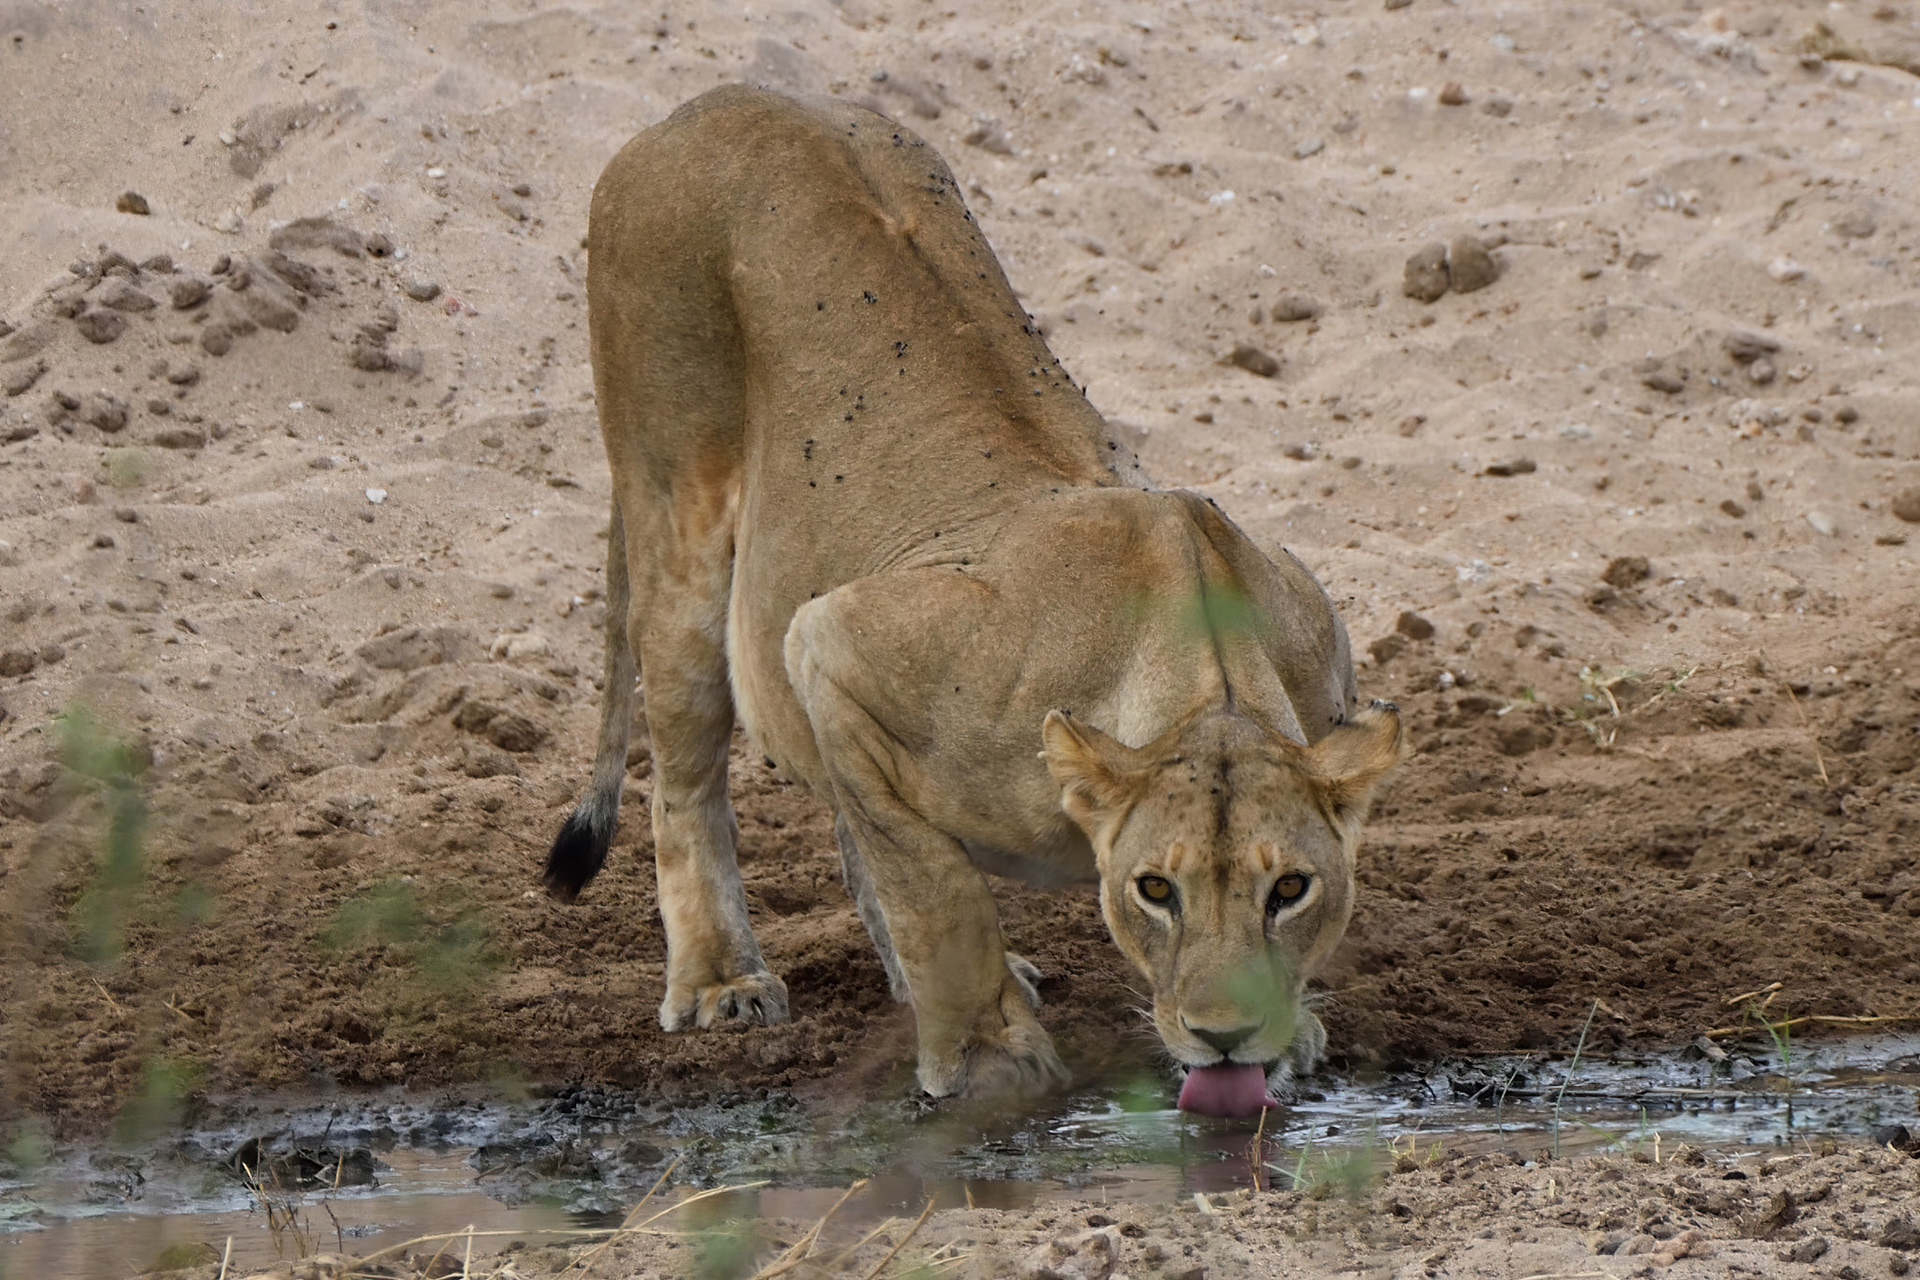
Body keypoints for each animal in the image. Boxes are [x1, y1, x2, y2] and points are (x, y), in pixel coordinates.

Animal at [543, 84, 1407, 1115]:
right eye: (1157, 891)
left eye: (1292, 891)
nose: (1226, 1038)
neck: (1207, 673)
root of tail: (714, 99)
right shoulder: (835, 639)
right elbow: (939, 895)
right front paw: (989, 1057)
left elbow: (900, 858)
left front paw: (1294, 1028)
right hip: (678, 514)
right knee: (687, 785)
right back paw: (722, 980)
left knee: (849, 817)